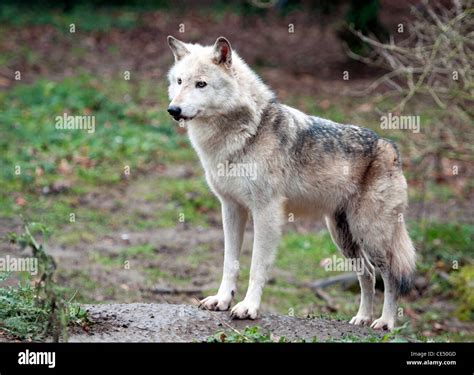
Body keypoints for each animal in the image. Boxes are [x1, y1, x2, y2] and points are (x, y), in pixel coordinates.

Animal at [166, 34, 414, 328]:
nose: (173, 109)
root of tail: (390, 146)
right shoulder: (231, 208)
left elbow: (257, 266)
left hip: (371, 234)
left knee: (391, 275)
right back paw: (361, 318)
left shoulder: (266, 212)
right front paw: (221, 300)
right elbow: (230, 262)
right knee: (367, 274)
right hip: (343, 237)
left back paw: (385, 322)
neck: (243, 133)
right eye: (179, 81)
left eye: (201, 84)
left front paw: (248, 307)